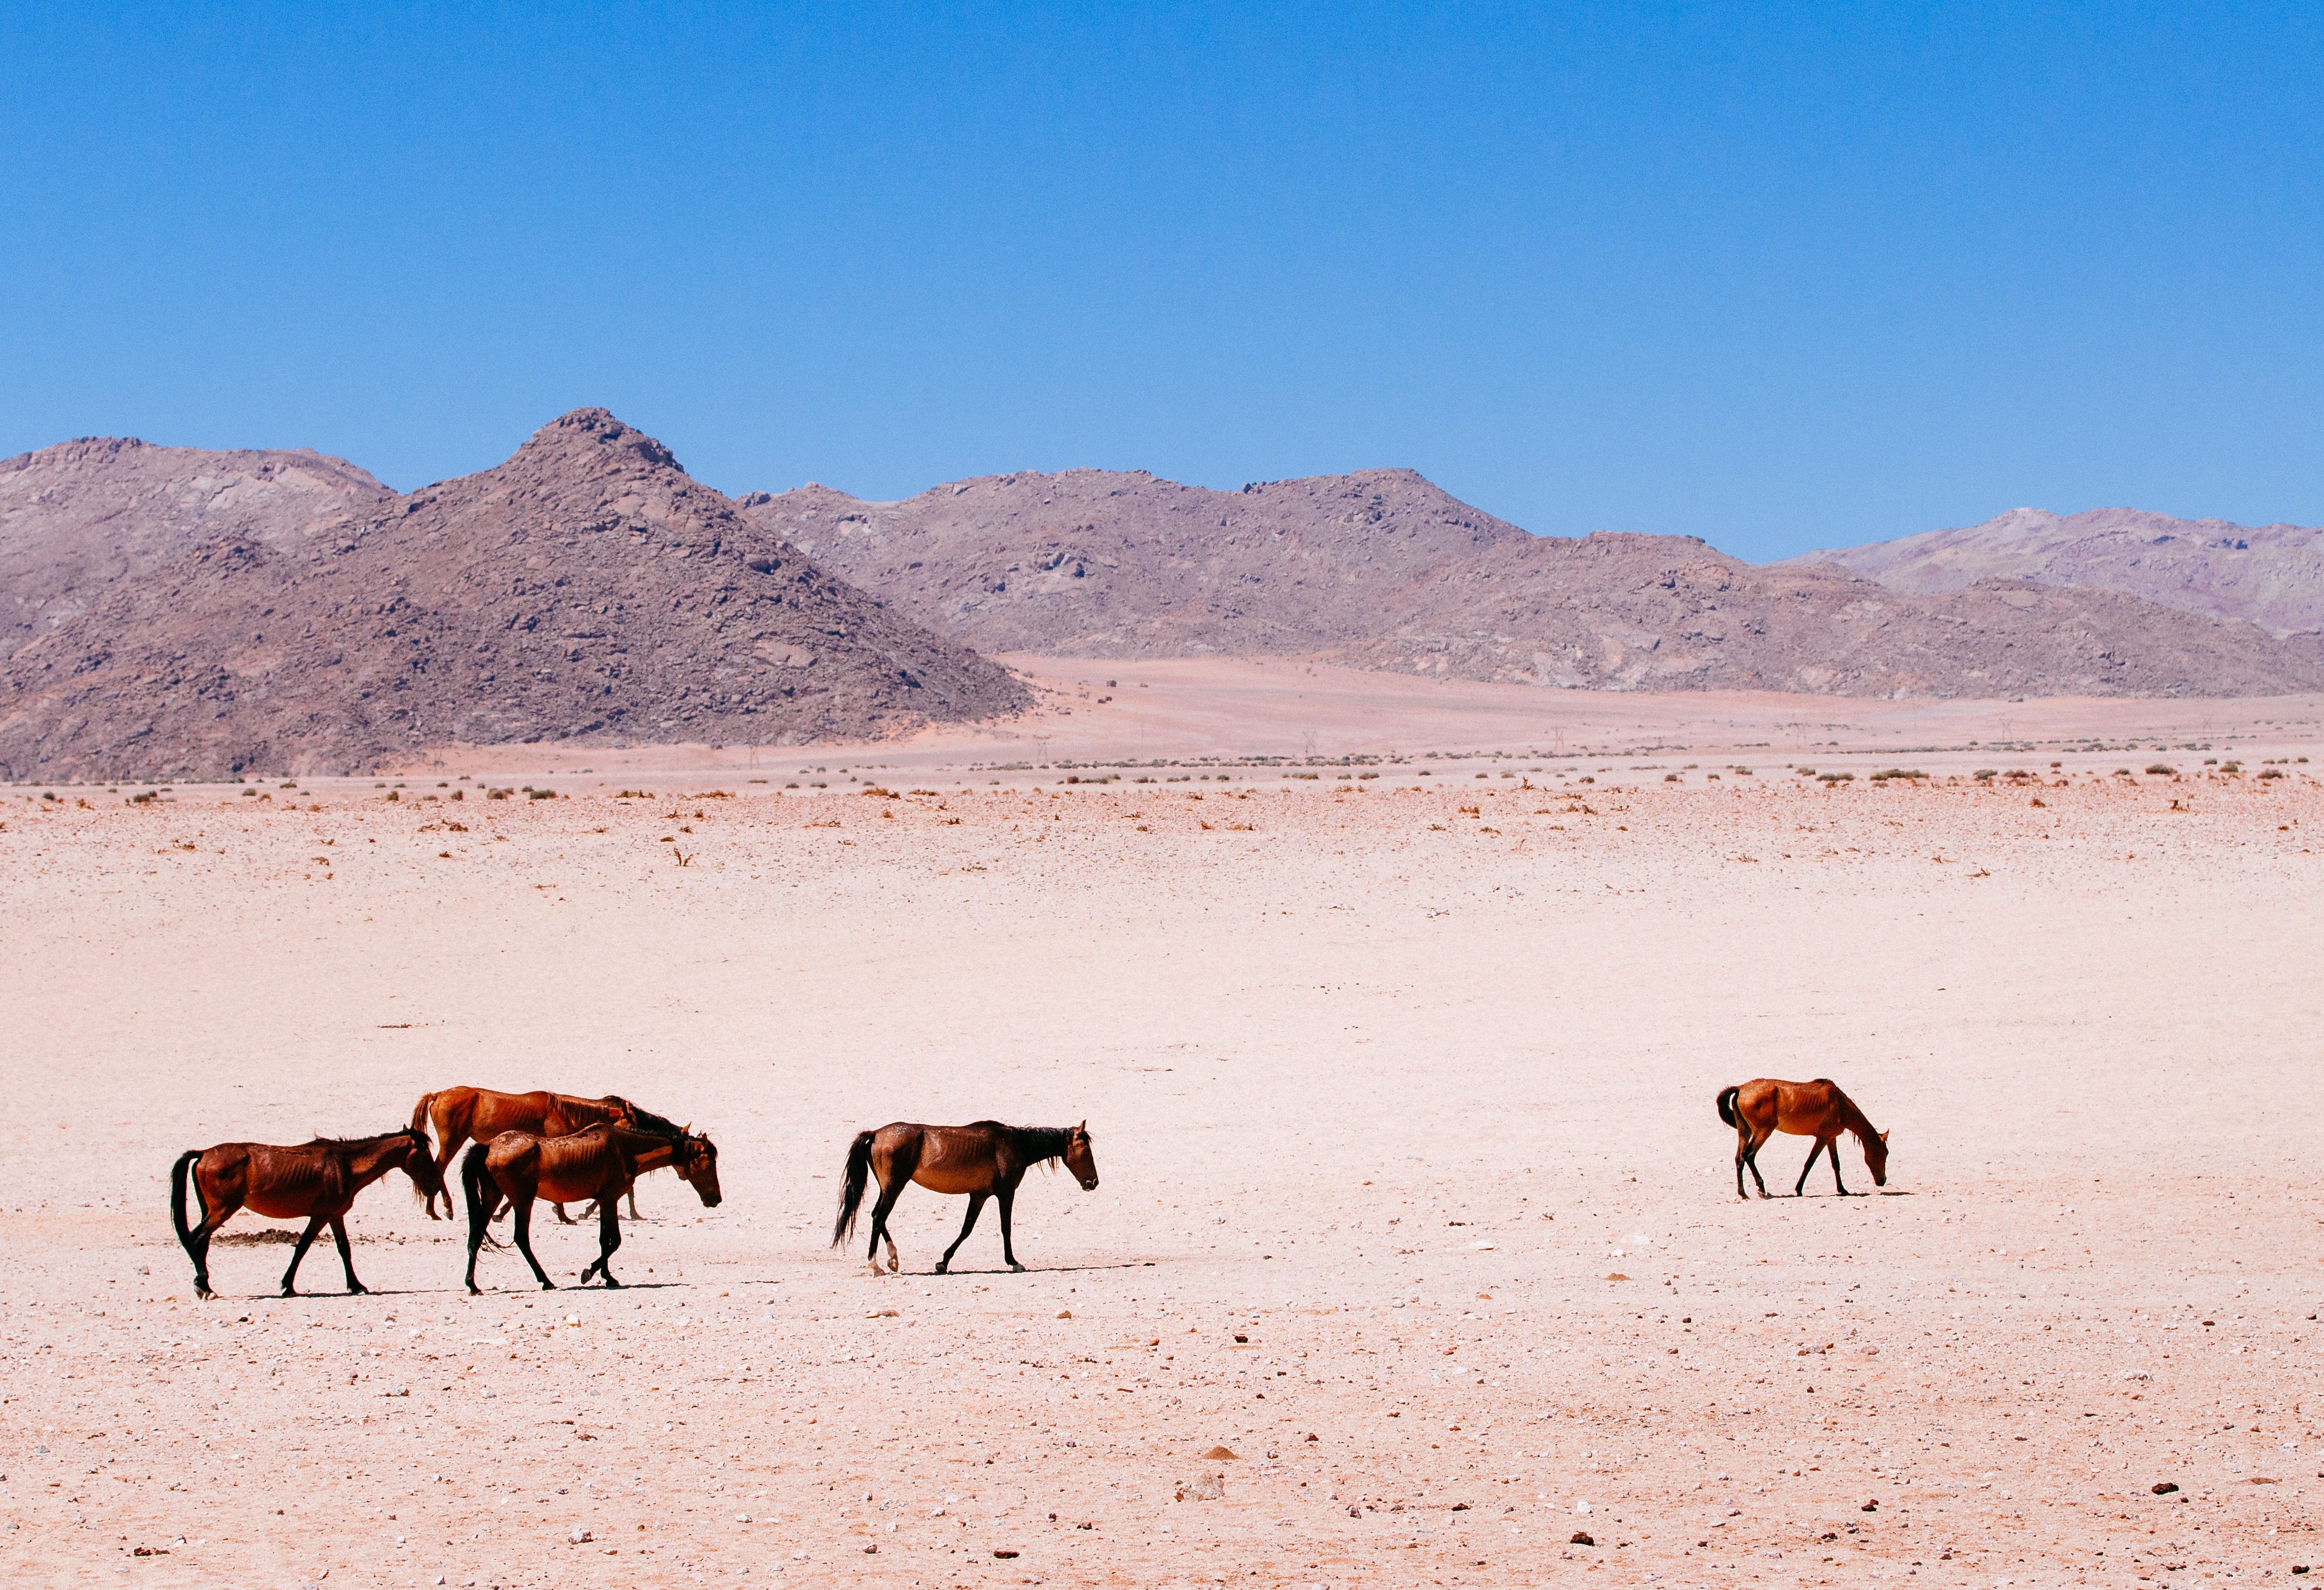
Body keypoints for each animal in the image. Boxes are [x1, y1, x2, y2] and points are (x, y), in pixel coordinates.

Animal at [169, 1128, 442, 1300]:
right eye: (425, 1154)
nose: (435, 1187)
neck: (345, 1164)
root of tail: (204, 1153)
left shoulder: (335, 1216)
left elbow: (344, 1249)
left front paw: (356, 1286)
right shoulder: (320, 1216)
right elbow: (302, 1247)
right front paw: (288, 1286)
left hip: (212, 1211)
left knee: (201, 1242)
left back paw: (204, 1285)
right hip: (222, 1210)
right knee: (197, 1239)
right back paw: (204, 1287)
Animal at [409, 1087, 676, 1221]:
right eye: (632, 1124)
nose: (638, 1139)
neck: (563, 1112)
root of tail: (437, 1095)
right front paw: (566, 1216)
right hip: (452, 1140)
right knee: (438, 1169)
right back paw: (440, 1210)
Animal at [460, 1122, 721, 1293]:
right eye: (709, 1163)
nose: (716, 1199)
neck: (625, 1149)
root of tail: (490, 1146)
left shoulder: (605, 1201)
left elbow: (604, 1240)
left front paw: (608, 1277)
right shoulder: (609, 1200)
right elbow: (615, 1241)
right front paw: (590, 1273)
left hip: (493, 1196)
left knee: (476, 1235)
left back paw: (473, 1285)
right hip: (523, 1200)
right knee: (521, 1238)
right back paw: (546, 1281)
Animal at [832, 1121, 1098, 1276]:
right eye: (1086, 1151)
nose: (1093, 1183)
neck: (1015, 1144)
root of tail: (877, 1134)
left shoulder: (979, 1195)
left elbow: (966, 1229)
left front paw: (943, 1262)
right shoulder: (1005, 1193)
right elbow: (1005, 1229)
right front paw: (1013, 1262)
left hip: (888, 1188)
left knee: (878, 1217)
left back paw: (893, 1258)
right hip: (894, 1187)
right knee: (879, 1217)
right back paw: (874, 1265)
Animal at [1717, 1078, 1889, 1200]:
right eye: (1885, 1153)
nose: (1882, 1181)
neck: (1840, 1105)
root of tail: (1740, 1088)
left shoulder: (1831, 1138)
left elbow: (1836, 1164)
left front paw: (1842, 1190)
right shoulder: (1822, 1138)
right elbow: (1810, 1163)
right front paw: (1799, 1189)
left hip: (1745, 1132)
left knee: (1739, 1159)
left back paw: (1743, 1194)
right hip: (1763, 1132)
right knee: (1749, 1155)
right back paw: (1761, 1188)